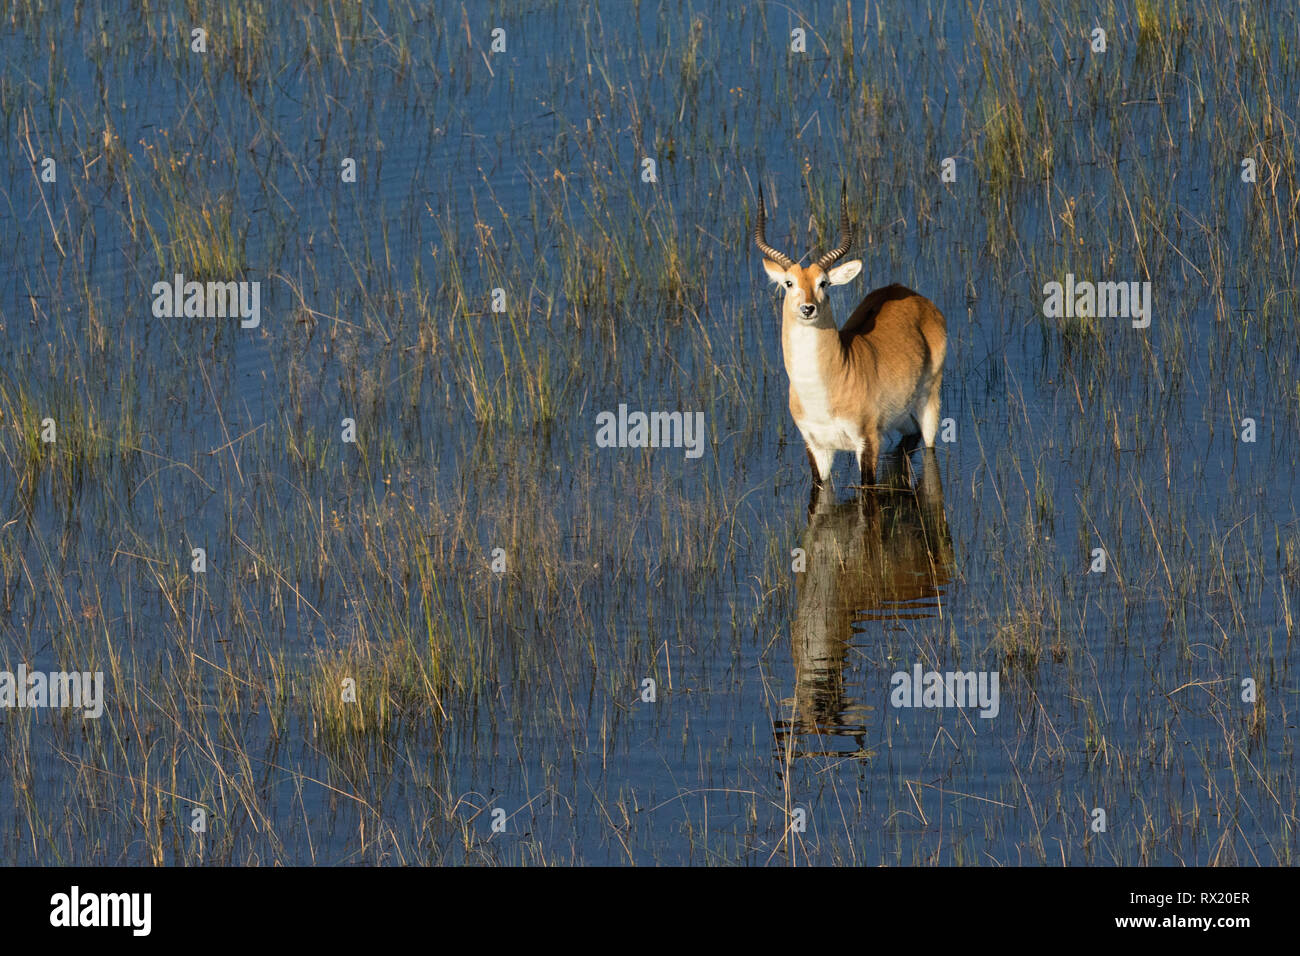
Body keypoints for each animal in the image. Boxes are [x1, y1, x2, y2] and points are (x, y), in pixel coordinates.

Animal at [754, 182, 946, 496]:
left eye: (824, 282)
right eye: (789, 283)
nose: (808, 308)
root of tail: (913, 296)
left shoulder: (867, 442)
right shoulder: (815, 447)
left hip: (930, 402)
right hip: (902, 417)